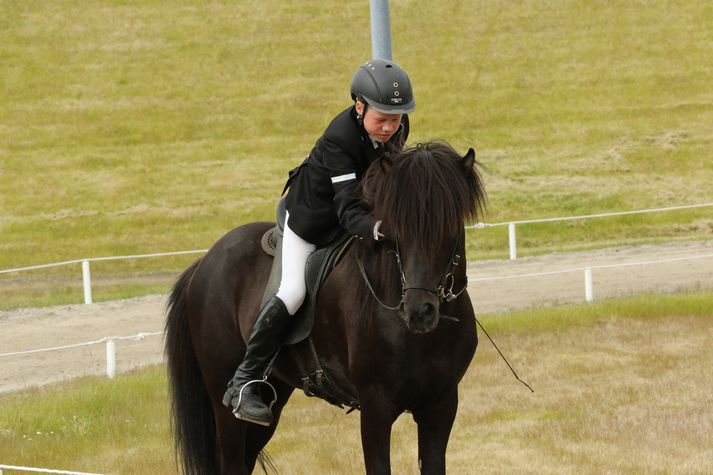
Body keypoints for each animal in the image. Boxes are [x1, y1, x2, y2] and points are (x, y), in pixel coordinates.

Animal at [164, 142, 486, 475]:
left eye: (450, 228)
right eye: (396, 231)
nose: (419, 312)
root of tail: (204, 261)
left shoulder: (441, 406)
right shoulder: (376, 408)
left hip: (272, 396)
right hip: (223, 398)